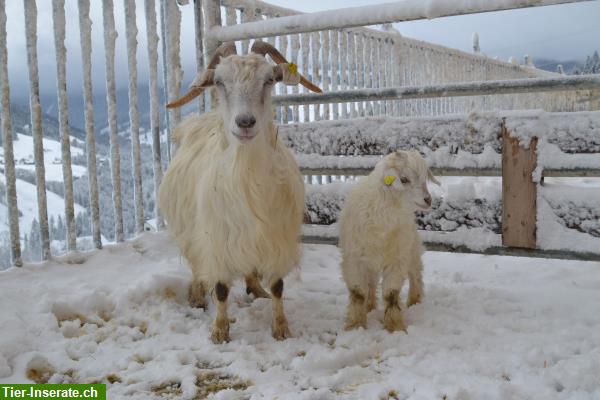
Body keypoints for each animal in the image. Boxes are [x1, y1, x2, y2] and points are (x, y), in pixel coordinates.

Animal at [157, 40, 322, 344]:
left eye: (269, 79)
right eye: (220, 82)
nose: (245, 122)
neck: (248, 177)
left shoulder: (275, 237)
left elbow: (278, 286)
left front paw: (281, 327)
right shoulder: (216, 240)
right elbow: (221, 288)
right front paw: (219, 331)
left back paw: (256, 289)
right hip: (189, 231)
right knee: (197, 265)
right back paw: (197, 294)